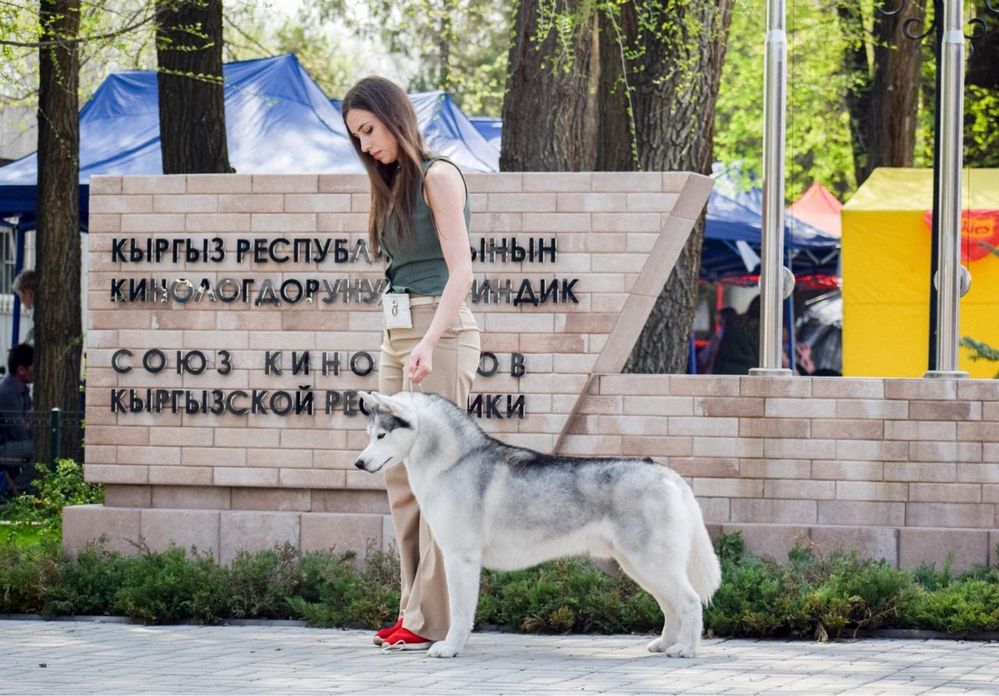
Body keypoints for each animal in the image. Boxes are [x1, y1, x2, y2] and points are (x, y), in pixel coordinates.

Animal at [356, 392, 724, 656]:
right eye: (369, 435)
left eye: (382, 435)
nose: (359, 462)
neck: (454, 463)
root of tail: (667, 473)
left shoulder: (461, 558)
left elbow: (460, 611)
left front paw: (450, 648)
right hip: (639, 565)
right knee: (670, 605)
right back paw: (665, 644)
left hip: (651, 562)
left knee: (689, 602)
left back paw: (686, 650)